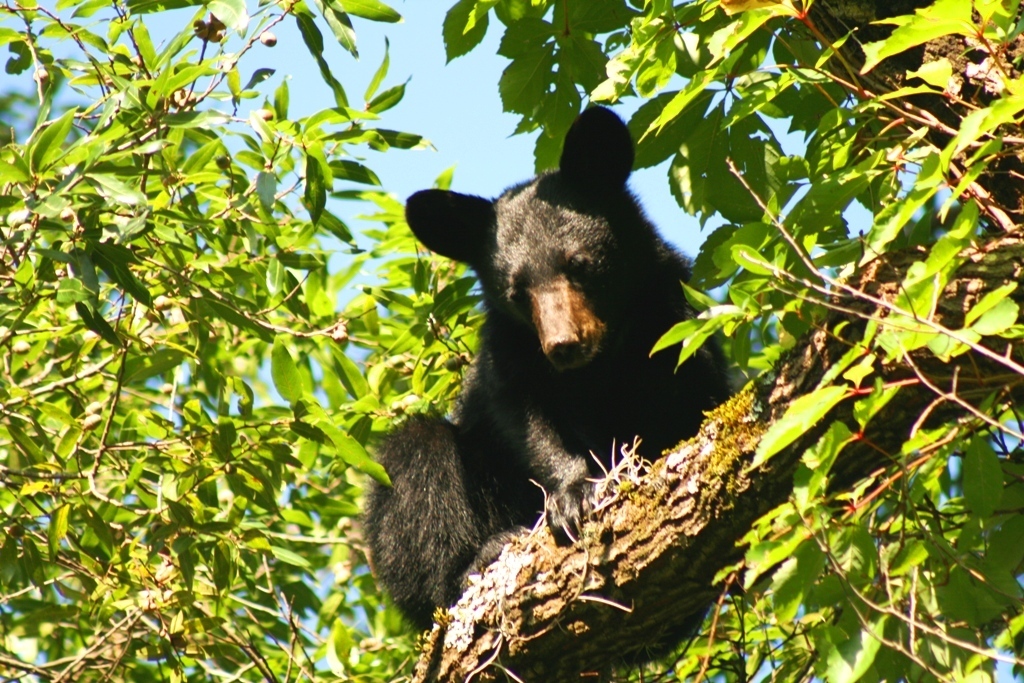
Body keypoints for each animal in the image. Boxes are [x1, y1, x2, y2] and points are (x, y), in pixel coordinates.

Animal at [363, 106, 730, 631]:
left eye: (578, 263)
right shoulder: (509, 354)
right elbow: (527, 419)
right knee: (414, 463)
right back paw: (477, 561)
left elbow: (690, 407)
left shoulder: (673, 321)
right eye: (518, 292)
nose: (563, 346)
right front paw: (574, 493)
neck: (597, 366)